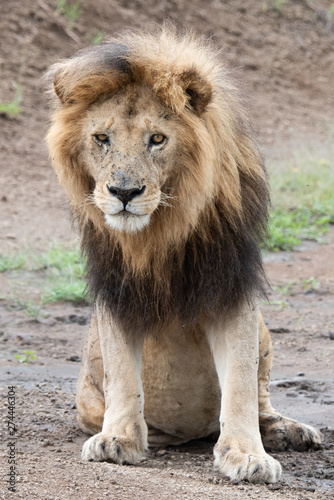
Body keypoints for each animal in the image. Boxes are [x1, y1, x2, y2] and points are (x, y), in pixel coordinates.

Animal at [45, 28, 322, 484]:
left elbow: (241, 382)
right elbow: (123, 373)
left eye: (157, 139)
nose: (123, 193)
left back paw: (289, 431)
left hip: (264, 333)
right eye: (101, 139)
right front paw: (118, 439)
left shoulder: (231, 285)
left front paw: (247, 454)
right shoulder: (117, 290)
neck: (161, 230)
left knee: (260, 398)